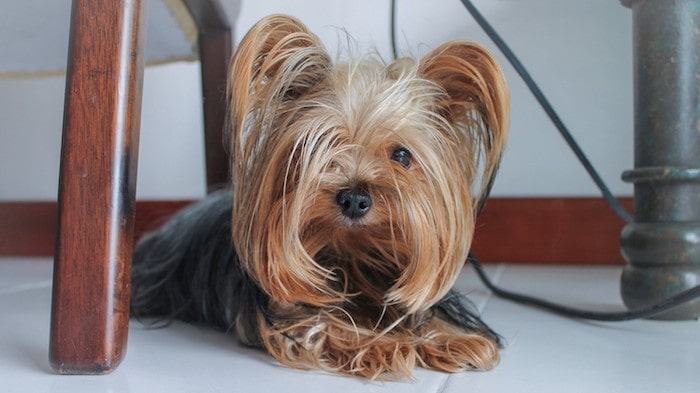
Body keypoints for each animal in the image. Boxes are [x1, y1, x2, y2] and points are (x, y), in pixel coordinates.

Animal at [131, 13, 506, 378]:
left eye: (401, 155)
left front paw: (455, 340)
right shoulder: (285, 314)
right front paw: (382, 345)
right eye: (318, 146)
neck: (352, 253)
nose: (354, 198)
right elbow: (320, 325)